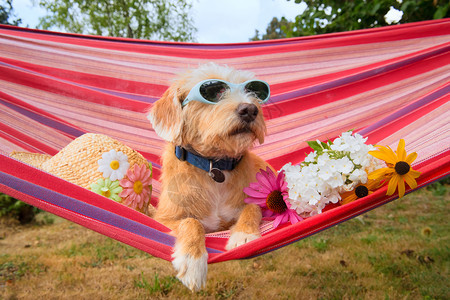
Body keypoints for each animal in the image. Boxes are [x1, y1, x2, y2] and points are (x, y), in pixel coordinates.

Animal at [149, 62, 272, 290]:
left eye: (252, 90)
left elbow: (252, 208)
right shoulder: (164, 220)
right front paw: (193, 260)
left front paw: (244, 235)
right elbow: (191, 222)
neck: (215, 166)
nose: (250, 109)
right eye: (214, 91)